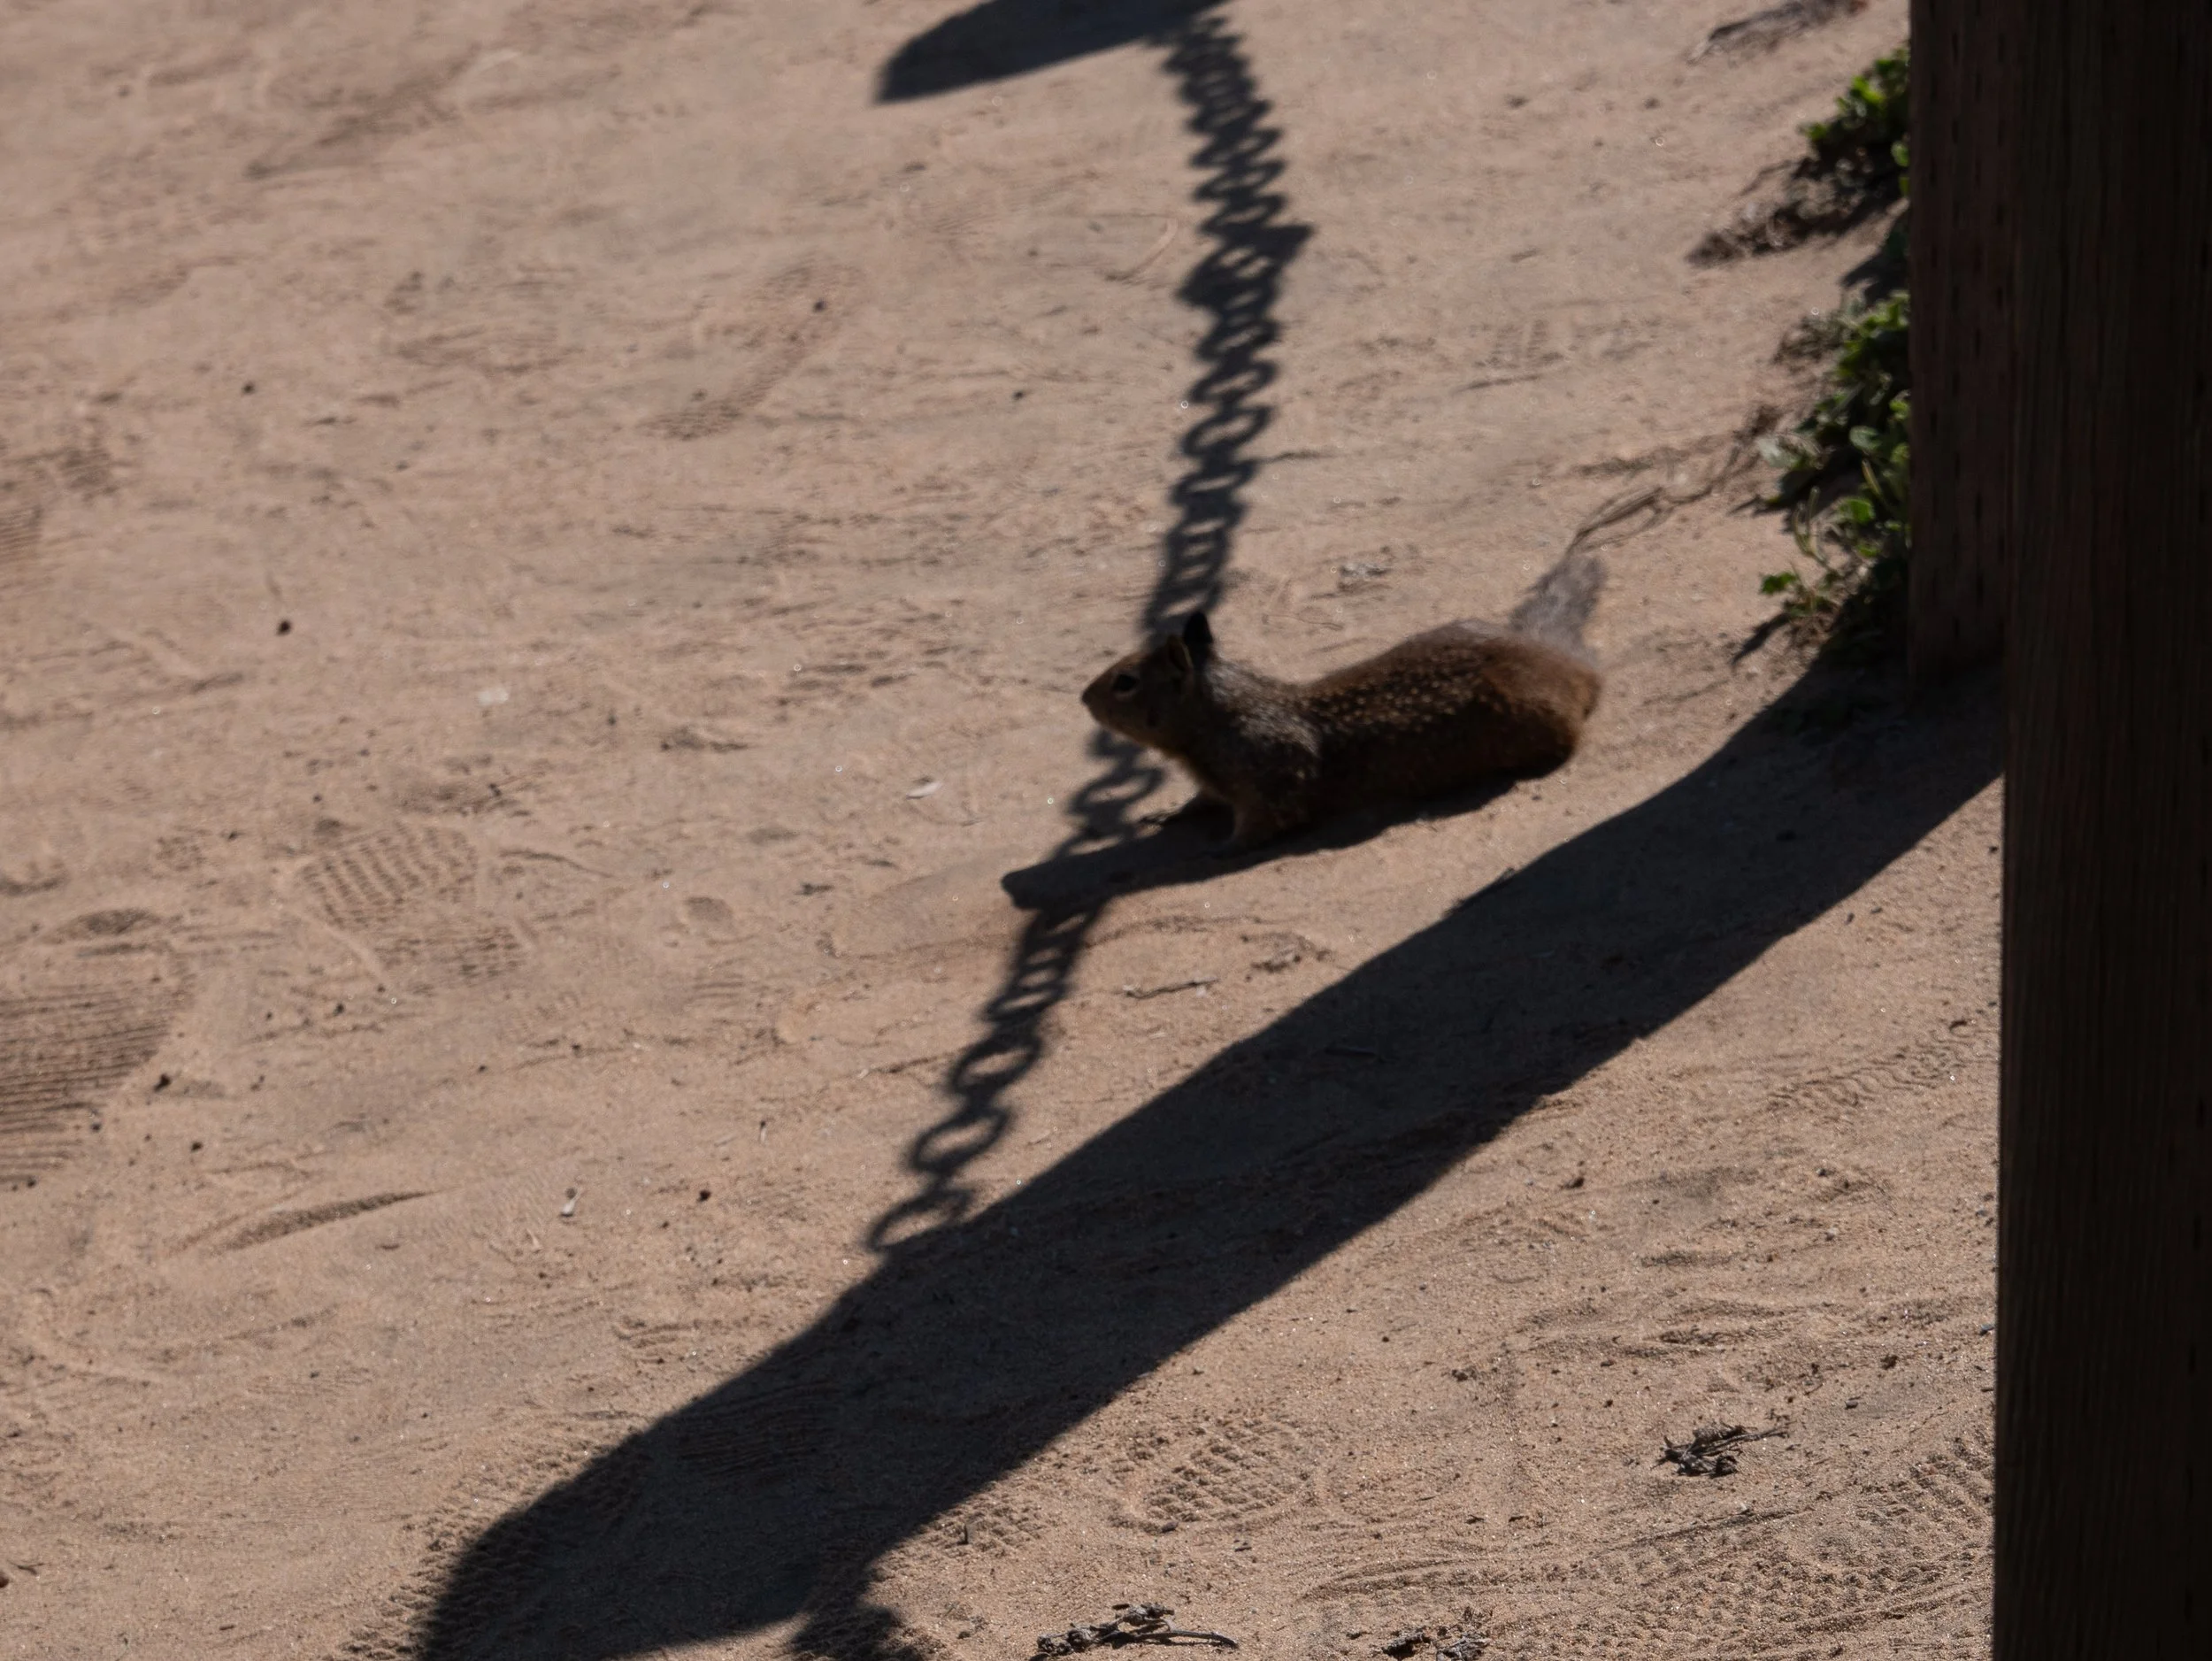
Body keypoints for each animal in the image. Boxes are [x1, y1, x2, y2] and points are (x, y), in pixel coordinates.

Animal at [1081, 550, 1604, 849]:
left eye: (1125, 681)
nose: (1083, 698)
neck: (1223, 714)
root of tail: (1565, 661)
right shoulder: (1216, 781)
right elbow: (1200, 800)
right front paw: (1168, 812)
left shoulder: (1269, 780)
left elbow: (1259, 825)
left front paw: (1221, 848)